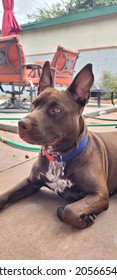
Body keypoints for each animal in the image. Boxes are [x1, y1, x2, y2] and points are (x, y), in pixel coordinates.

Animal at [0, 61, 116, 228]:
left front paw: (86, 217)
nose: (21, 123)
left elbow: (69, 211)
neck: (58, 157)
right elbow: (5, 195)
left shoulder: (99, 193)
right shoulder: (30, 182)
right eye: (33, 104)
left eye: (56, 109)